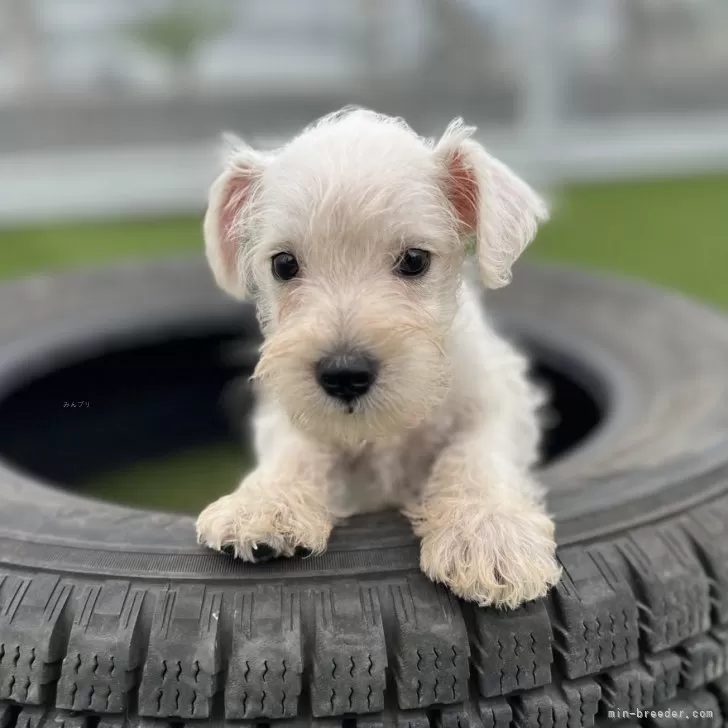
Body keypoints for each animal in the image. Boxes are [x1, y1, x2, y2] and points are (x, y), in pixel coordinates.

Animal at [198, 108, 564, 608]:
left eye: (414, 260)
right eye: (283, 264)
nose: (344, 375)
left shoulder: (501, 397)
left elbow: (477, 451)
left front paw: (488, 533)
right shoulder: (291, 411)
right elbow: (294, 446)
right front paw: (264, 502)